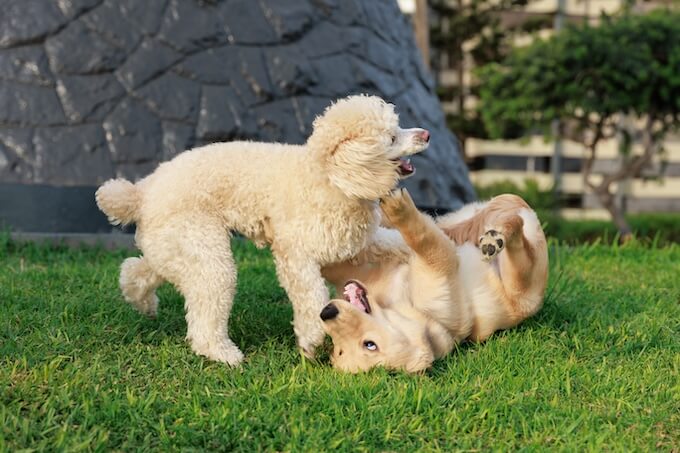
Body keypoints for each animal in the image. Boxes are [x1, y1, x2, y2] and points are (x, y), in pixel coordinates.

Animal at [95, 95, 430, 366]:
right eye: (391, 137)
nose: (425, 134)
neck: (331, 177)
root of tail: (142, 193)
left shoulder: (356, 241)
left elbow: (391, 241)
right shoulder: (295, 255)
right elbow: (312, 295)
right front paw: (311, 340)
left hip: (174, 246)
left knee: (138, 269)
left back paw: (143, 302)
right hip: (204, 249)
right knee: (206, 306)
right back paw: (222, 354)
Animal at [320, 189, 548, 373]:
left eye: (369, 344)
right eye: (339, 349)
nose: (327, 311)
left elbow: (424, 242)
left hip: (517, 278)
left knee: (510, 221)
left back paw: (490, 235)